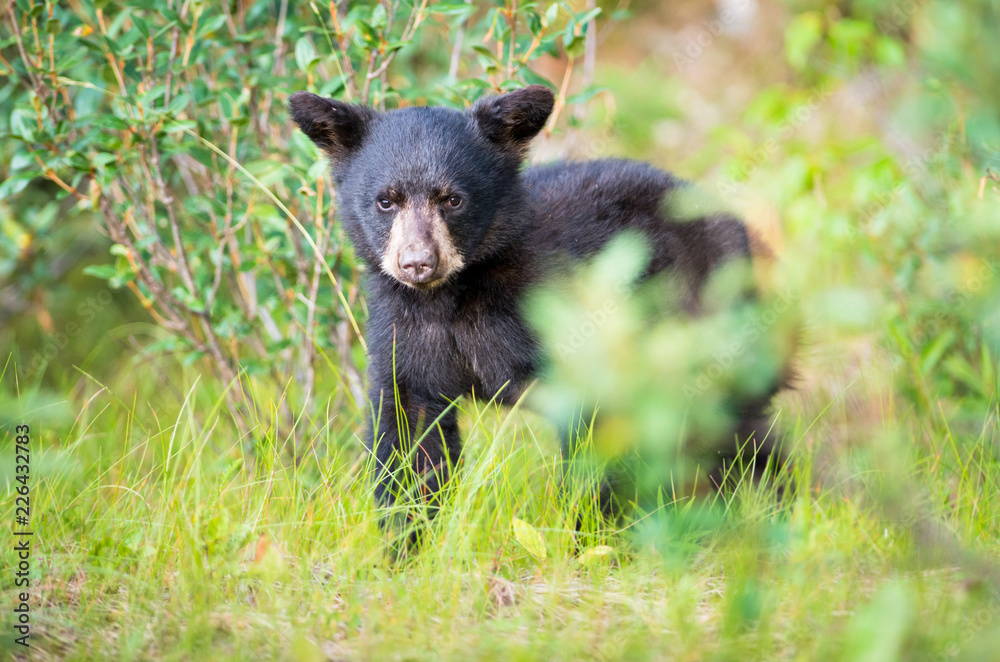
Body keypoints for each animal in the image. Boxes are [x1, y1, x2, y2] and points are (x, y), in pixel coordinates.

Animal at [288, 85, 786, 526]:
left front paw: (588, 533)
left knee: (737, 423)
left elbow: (594, 429)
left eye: (453, 199)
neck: (456, 295)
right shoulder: (406, 332)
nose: (417, 263)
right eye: (385, 201)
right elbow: (409, 433)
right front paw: (404, 541)